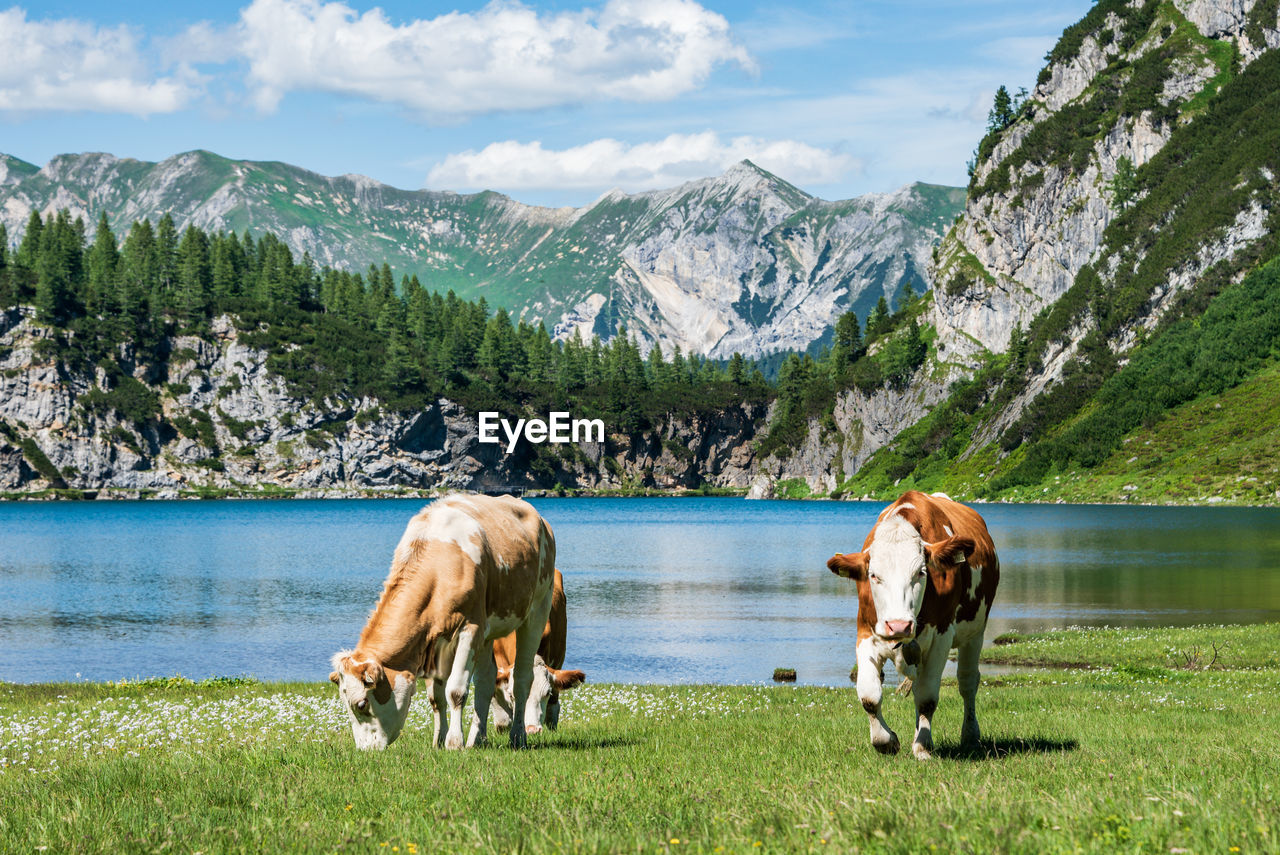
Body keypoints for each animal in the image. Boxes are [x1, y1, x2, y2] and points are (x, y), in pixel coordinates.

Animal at [327, 491, 552, 752]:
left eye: (361, 704)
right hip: (488, 632)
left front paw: (454, 742)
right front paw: (440, 740)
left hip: (538, 609)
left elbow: (455, 690)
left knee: (522, 679)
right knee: (485, 681)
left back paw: (517, 736)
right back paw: (478, 739)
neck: (440, 564)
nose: (365, 750)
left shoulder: (470, 628)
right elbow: (436, 696)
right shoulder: (433, 641)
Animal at [829, 491, 998, 757]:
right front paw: (885, 741)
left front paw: (923, 746)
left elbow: (927, 697)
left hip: (975, 634)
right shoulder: (865, 632)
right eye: (873, 575)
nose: (898, 626)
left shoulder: (941, 638)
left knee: (967, 682)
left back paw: (970, 735)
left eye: (921, 572)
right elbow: (869, 695)